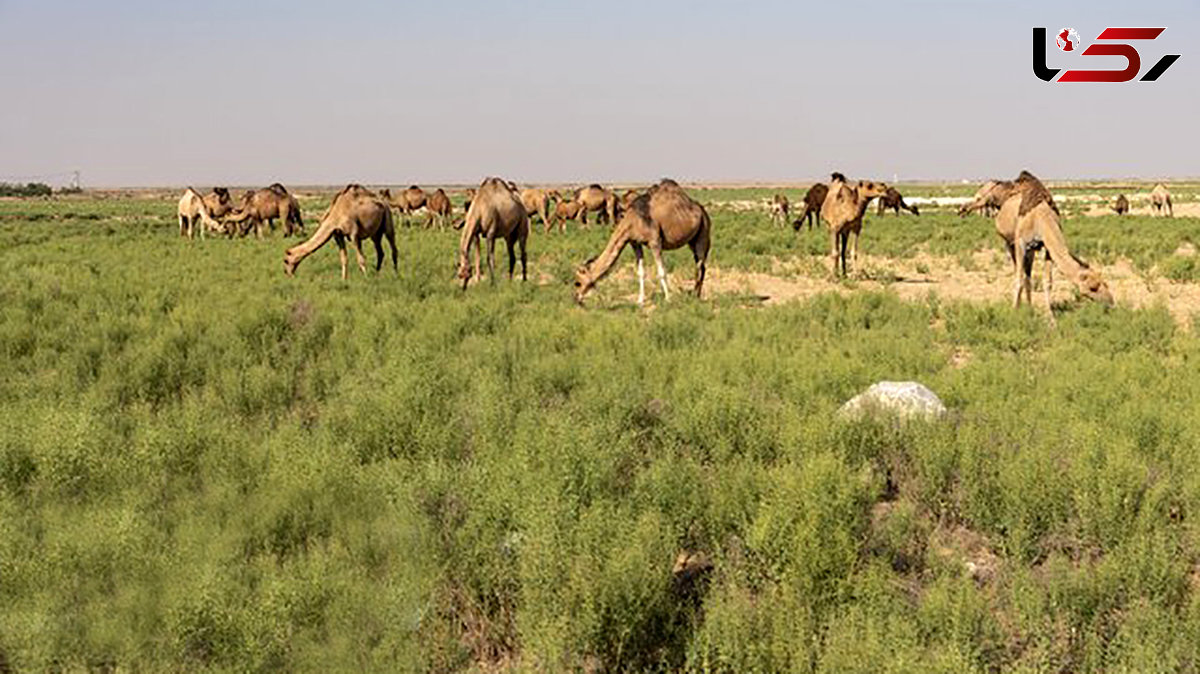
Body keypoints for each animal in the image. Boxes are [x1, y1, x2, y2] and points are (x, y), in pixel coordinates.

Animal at [573, 178, 710, 304]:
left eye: (577, 283)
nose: (576, 298)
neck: (633, 220)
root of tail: (702, 210)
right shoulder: (635, 242)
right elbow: (641, 272)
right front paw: (640, 300)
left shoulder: (655, 242)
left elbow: (661, 271)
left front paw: (668, 299)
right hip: (692, 241)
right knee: (700, 265)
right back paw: (696, 294)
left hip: (703, 233)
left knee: (700, 265)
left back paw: (696, 296)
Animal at [988, 170, 1108, 311]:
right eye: (1093, 287)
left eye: (1104, 283)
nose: (1111, 301)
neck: (1041, 218)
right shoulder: (1020, 242)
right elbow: (1019, 278)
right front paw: (1014, 311)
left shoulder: (1046, 247)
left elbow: (1048, 282)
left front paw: (1049, 315)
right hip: (1009, 242)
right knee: (1018, 269)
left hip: (1031, 250)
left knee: (1027, 274)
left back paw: (1029, 306)